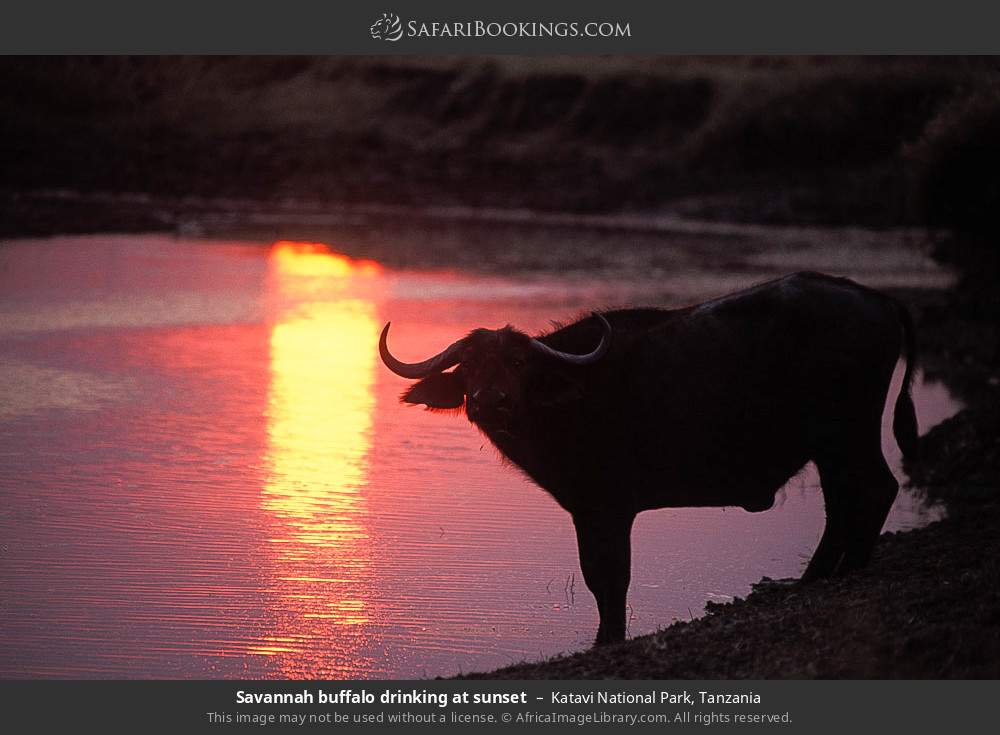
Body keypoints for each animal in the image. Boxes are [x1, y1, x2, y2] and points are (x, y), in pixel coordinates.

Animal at [378, 272, 919, 645]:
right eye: (469, 365)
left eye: (517, 362)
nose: (490, 401)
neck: (570, 397)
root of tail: (878, 299)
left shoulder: (604, 509)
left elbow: (607, 578)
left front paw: (607, 639)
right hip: (831, 446)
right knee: (845, 503)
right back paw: (816, 577)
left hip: (848, 433)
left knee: (874, 489)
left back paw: (849, 570)